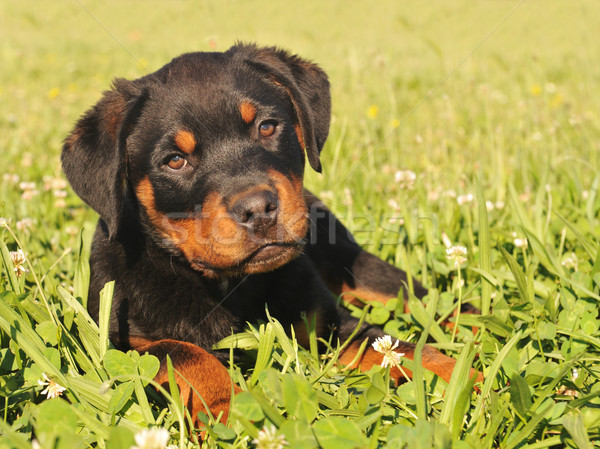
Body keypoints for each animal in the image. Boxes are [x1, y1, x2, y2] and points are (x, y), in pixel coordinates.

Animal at [61, 43, 462, 424]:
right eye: (174, 160)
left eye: (267, 127)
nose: (257, 208)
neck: (229, 284)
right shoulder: (119, 341)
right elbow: (186, 354)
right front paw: (228, 409)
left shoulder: (327, 322)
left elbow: (398, 346)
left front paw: (462, 377)